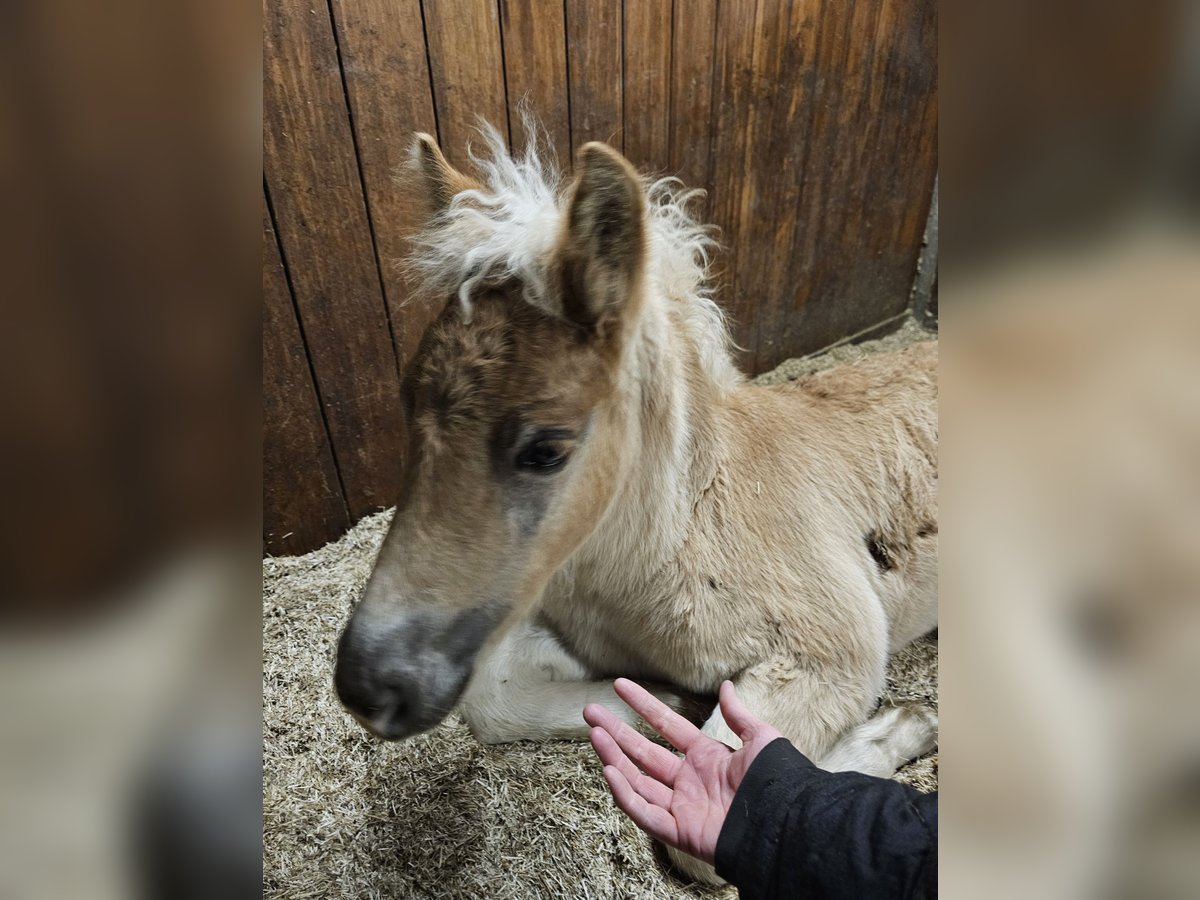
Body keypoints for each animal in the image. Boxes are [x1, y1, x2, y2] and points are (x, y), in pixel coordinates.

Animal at [336, 127, 936, 888]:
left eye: (546, 448)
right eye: (407, 400)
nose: (367, 684)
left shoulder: (835, 648)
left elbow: (721, 816)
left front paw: (903, 728)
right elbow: (497, 701)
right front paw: (674, 700)